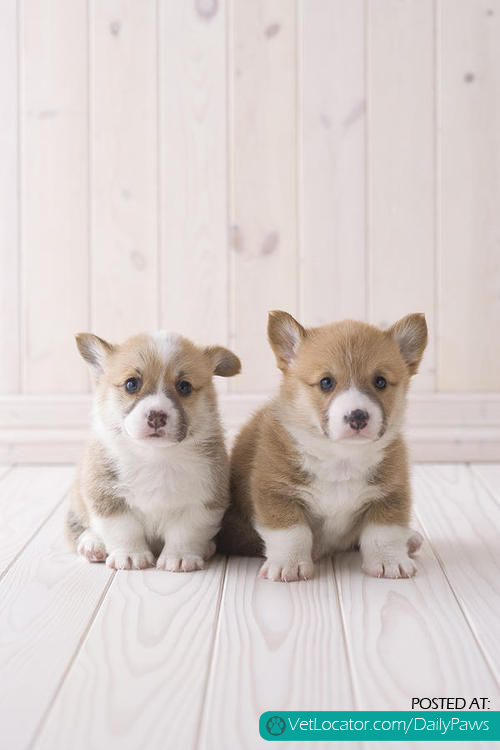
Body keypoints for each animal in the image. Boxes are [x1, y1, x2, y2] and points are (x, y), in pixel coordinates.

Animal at [66, 332, 240, 572]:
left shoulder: (204, 499)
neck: (155, 456)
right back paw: (92, 545)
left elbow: (186, 532)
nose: (157, 416)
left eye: (184, 387)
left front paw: (180, 557)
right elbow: (124, 530)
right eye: (132, 384)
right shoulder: (107, 495)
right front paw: (130, 556)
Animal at [217, 312, 428, 580]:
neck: (341, 458)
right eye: (326, 382)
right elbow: (293, 534)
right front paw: (289, 565)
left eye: (380, 382)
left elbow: (384, 534)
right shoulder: (276, 493)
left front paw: (390, 562)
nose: (358, 417)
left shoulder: (391, 493)